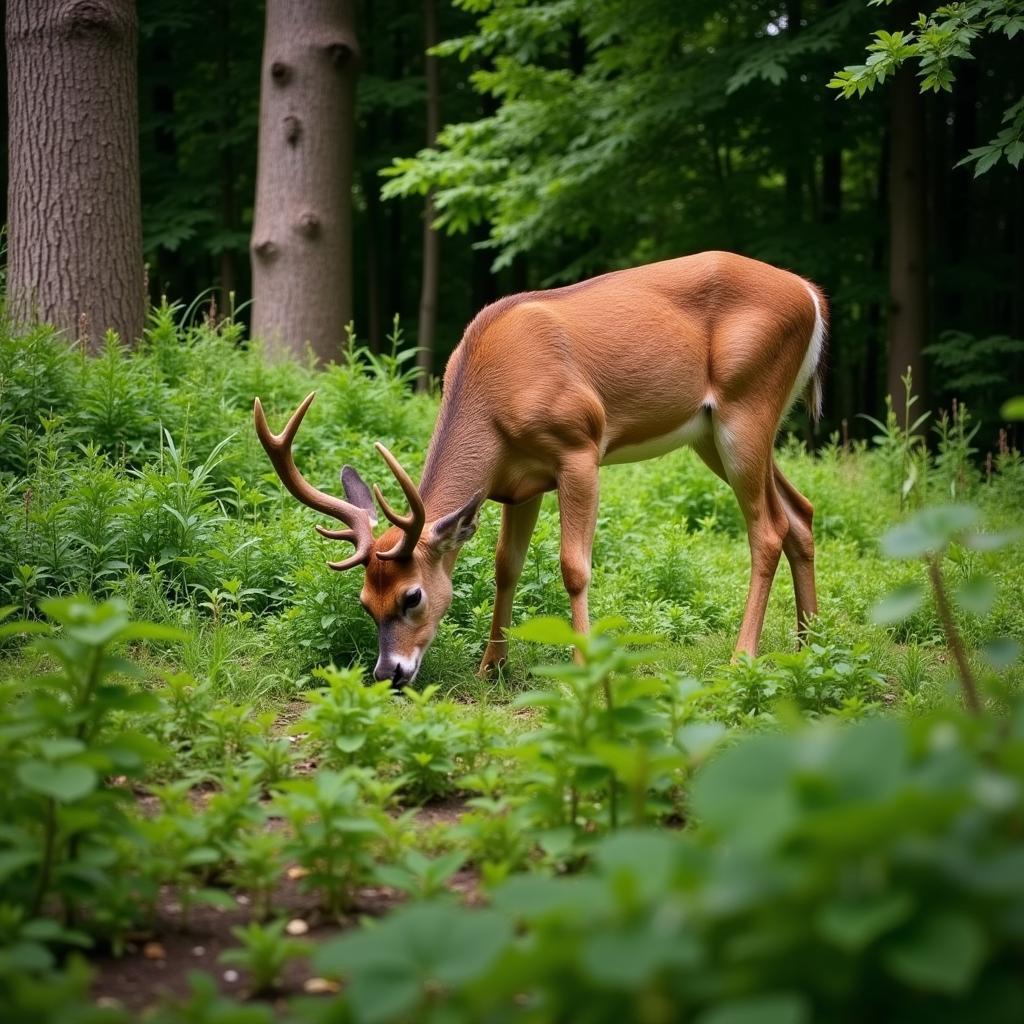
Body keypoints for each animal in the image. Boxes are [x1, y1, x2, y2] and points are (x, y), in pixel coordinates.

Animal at [253, 247, 823, 684]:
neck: (494, 398)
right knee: (801, 511)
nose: (388, 673)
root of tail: (811, 295)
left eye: (411, 596)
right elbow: (506, 565)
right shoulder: (518, 483)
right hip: (714, 433)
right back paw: (811, 642)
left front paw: (583, 667)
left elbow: (574, 567)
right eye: (365, 603)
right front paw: (491, 666)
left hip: (745, 406)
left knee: (767, 529)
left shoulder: (580, 447)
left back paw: (743, 656)